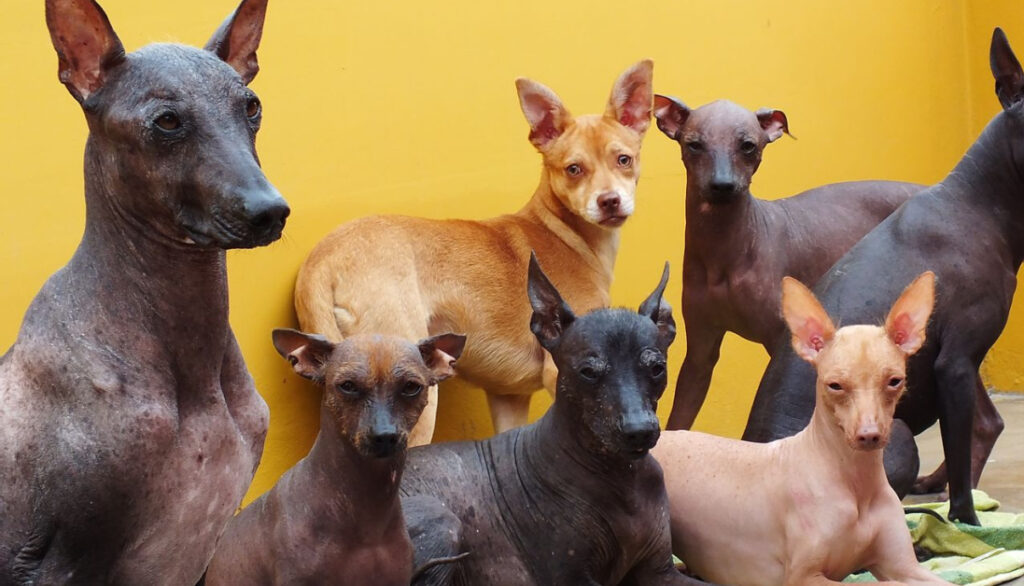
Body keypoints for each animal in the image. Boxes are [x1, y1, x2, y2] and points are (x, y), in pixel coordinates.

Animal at [292, 60, 651, 444]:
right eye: (573, 169)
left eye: (624, 160)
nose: (609, 201)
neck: (564, 232)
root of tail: (322, 260)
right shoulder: (562, 376)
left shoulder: (509, 397)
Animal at [399, 255, 712, 586]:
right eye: (588, 372)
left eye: (657, 368)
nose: (639, 431)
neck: (622, 475)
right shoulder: (572, 577)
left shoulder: (660, 571)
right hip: (440, 517)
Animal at [651, 274, 946, 586]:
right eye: (835, 385)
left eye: (894, 381)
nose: (869, 435)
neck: (856, 484)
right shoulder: (804, 576)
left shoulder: (904, 566)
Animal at [745, 27, 1024, 524]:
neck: (980, 201)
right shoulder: (956, 364)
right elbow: (960, 472)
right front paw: (967, 524)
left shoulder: (958, 364)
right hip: (900, 436)